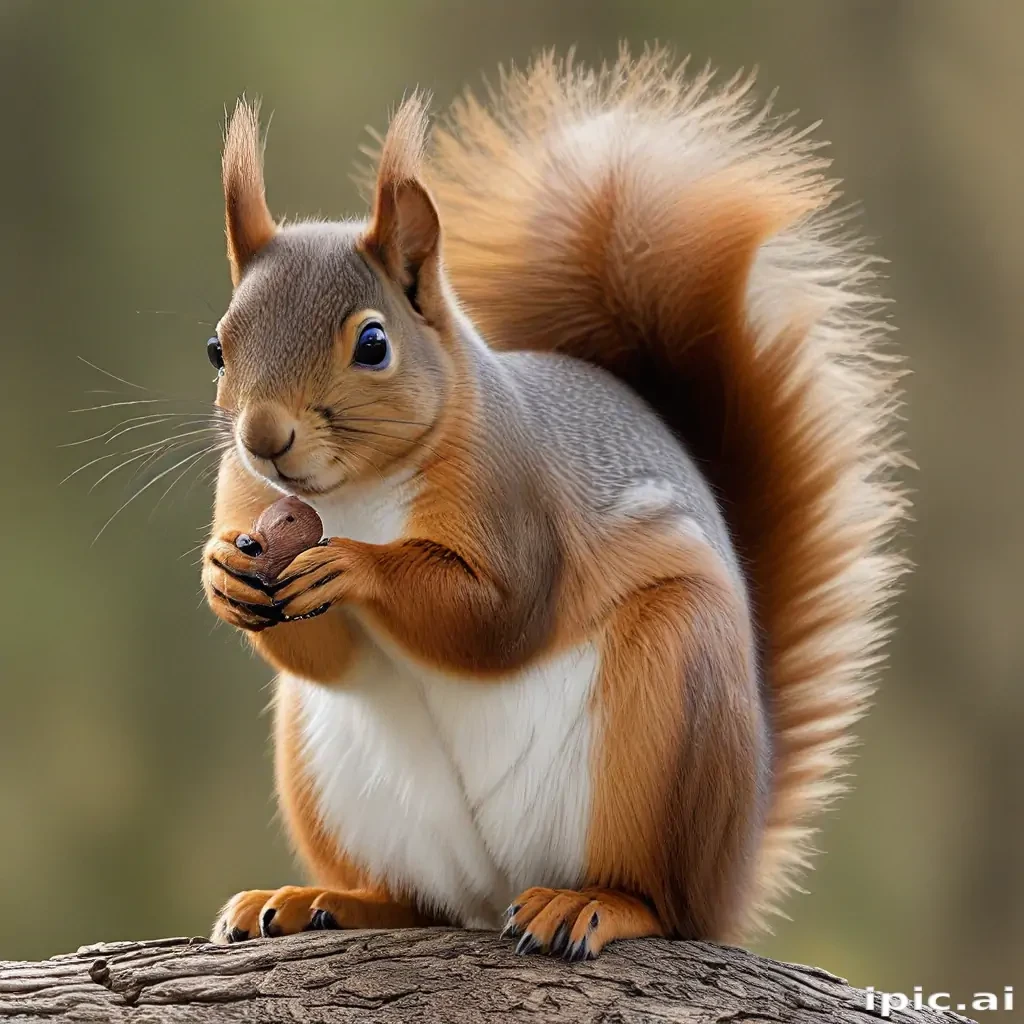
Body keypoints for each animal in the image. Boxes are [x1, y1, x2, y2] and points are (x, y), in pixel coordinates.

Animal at [202, 49, 905, 959]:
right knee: (419, 899)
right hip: (335, 776)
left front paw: (356, 567)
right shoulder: (247, 498)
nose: (263, 437)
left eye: (374, 344)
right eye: (217, 347)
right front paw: (222, 574)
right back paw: (321, 899)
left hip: (670, 716)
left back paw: (593, 904)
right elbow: (319, 655)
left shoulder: (517, 500)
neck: (354, 493)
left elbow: (499, 617)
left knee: (661, 901)